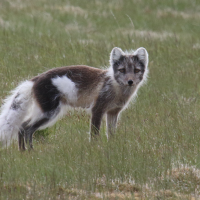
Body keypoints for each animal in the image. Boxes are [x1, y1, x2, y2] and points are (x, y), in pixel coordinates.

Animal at [0, 47, 148, 150]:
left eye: (136, 70)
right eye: (122, 70)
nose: (130, 82)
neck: (115, 86)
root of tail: (35, 79)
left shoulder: (113, 112)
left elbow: (111, 133)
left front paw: (111, 146)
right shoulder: (97, 109)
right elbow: (94, 134)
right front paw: (95, 149)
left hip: (45, 113)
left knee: (22, 126)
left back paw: (23, 152)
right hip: (49, 113)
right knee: (27, 128)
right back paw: (31, 151)